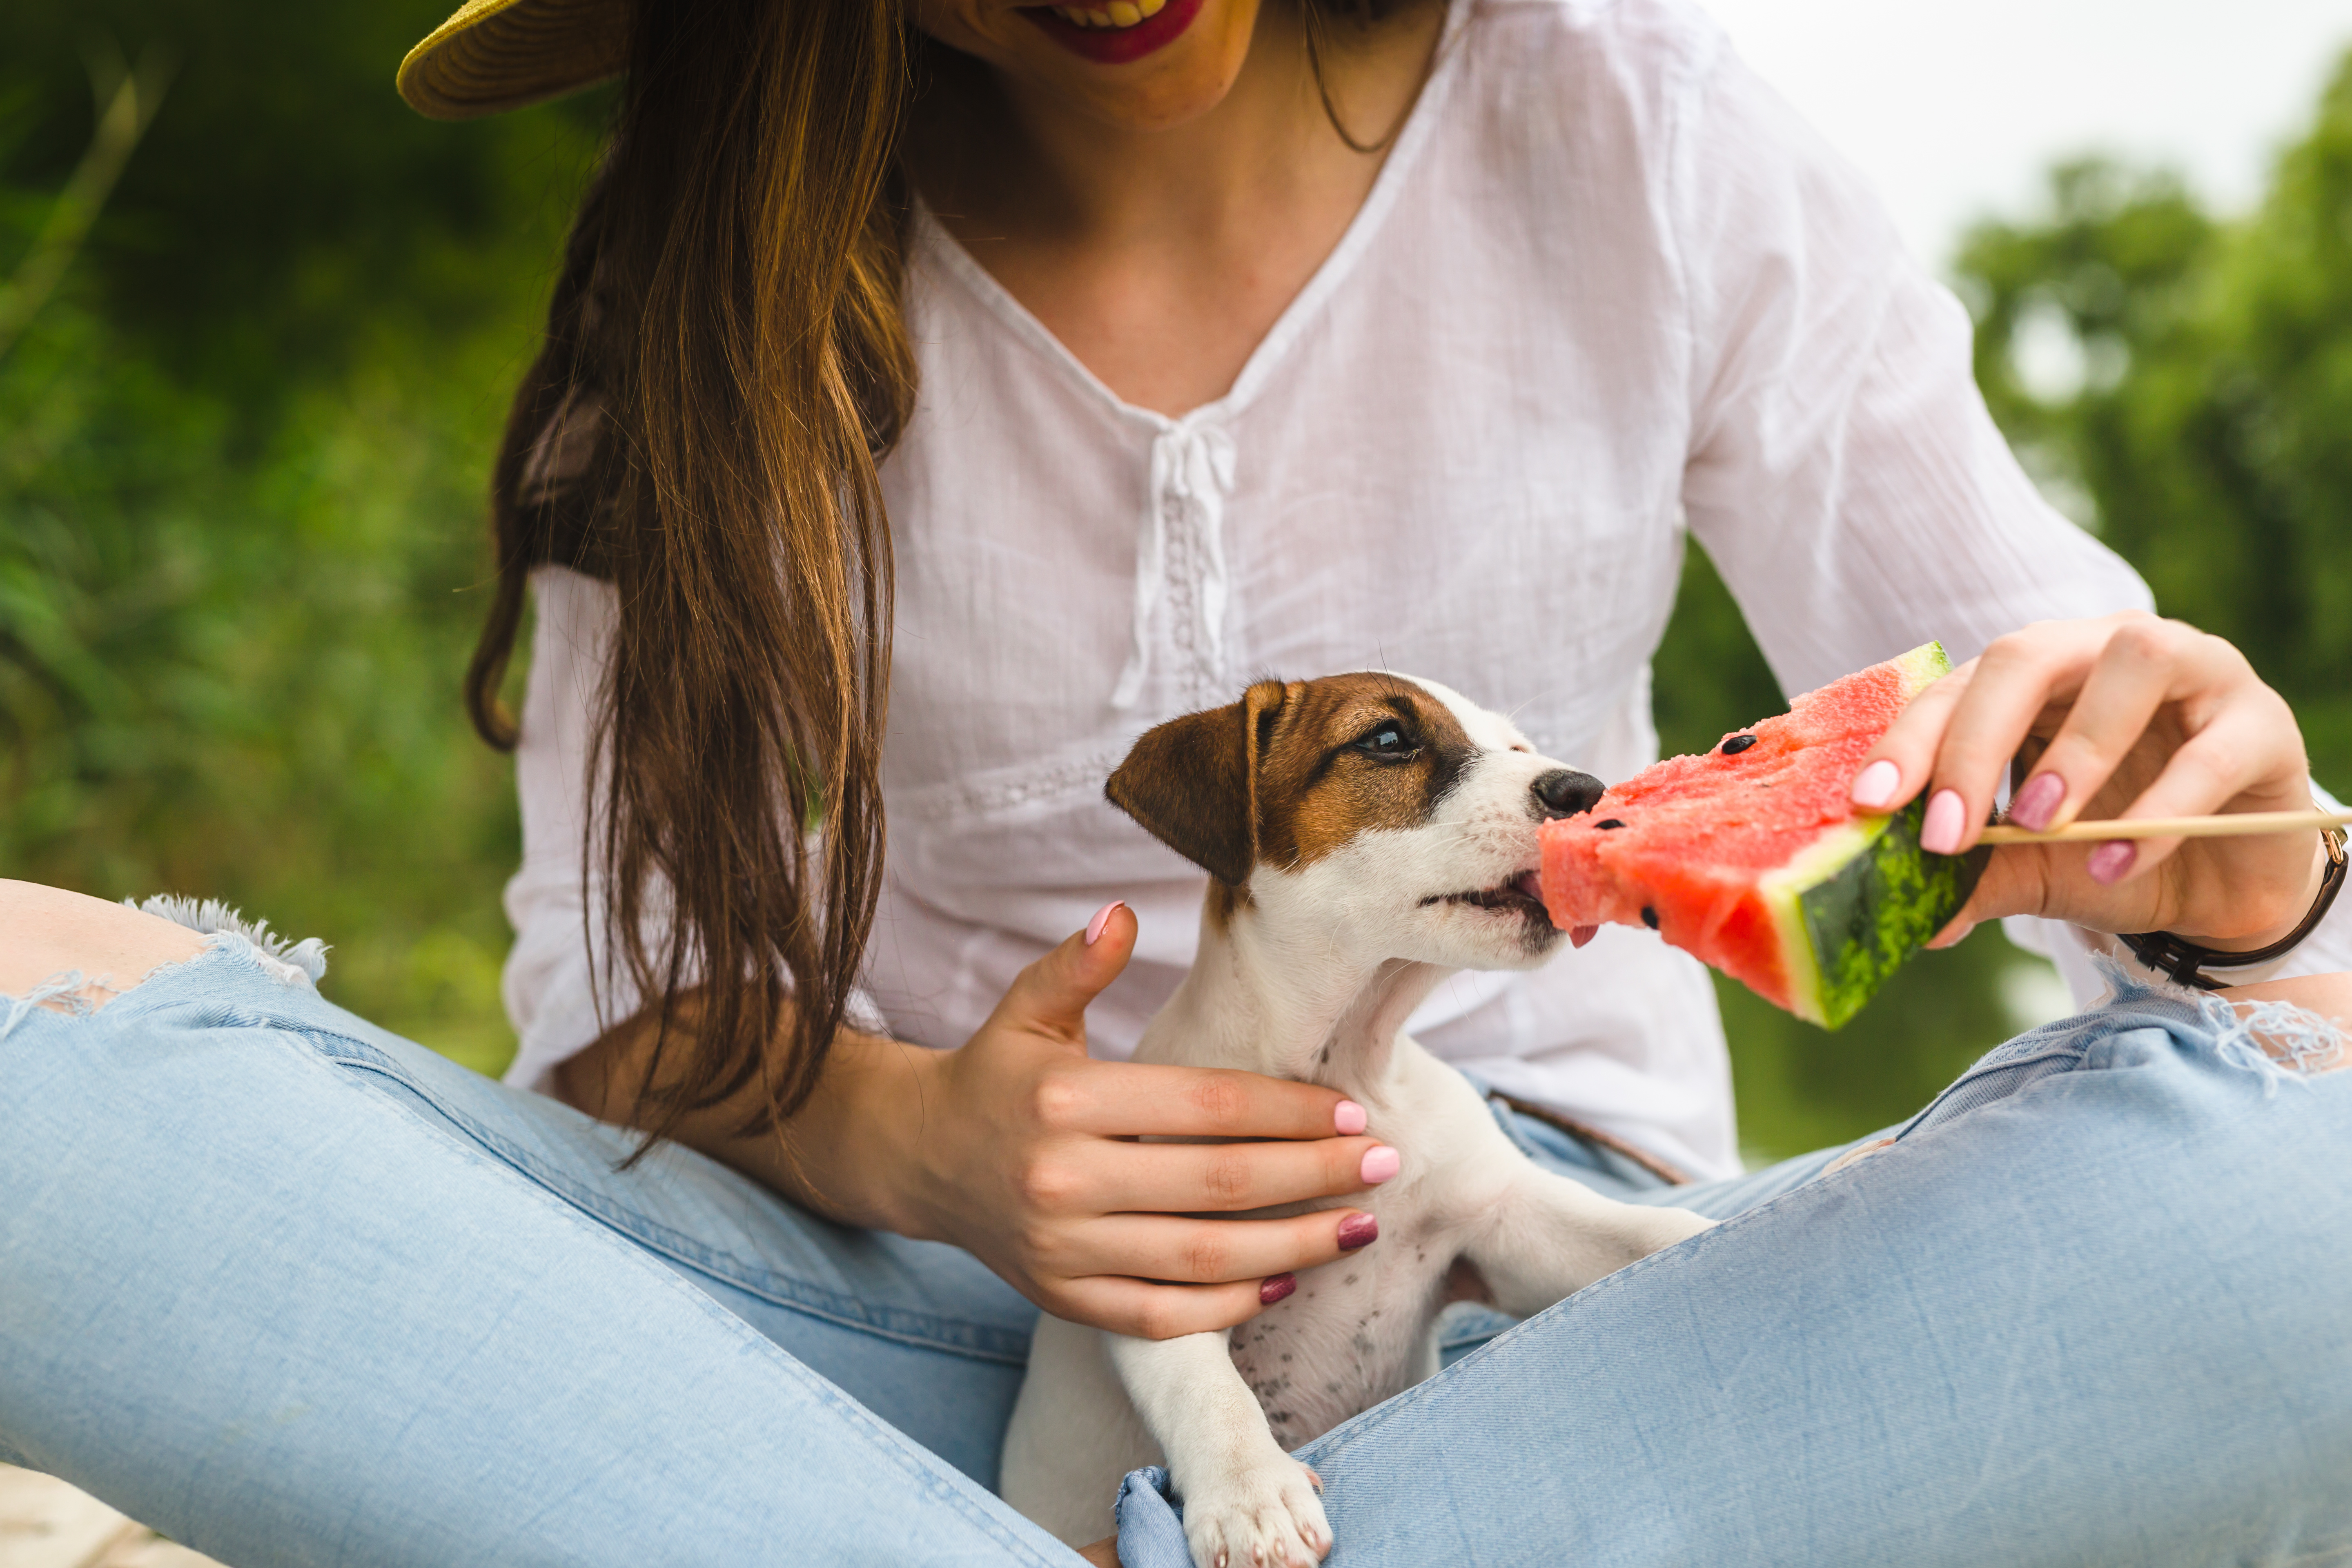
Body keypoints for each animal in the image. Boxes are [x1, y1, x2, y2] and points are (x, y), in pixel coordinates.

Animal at [992, 672, 1712, 1568]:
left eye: (1517, 747)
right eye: (1387, 741)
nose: (1588, 792)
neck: (1355, 1072)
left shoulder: (1501, 1230)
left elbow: (1640, 1233)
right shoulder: (1158, 1278)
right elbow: (1209, 1391)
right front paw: (1251, 1494)